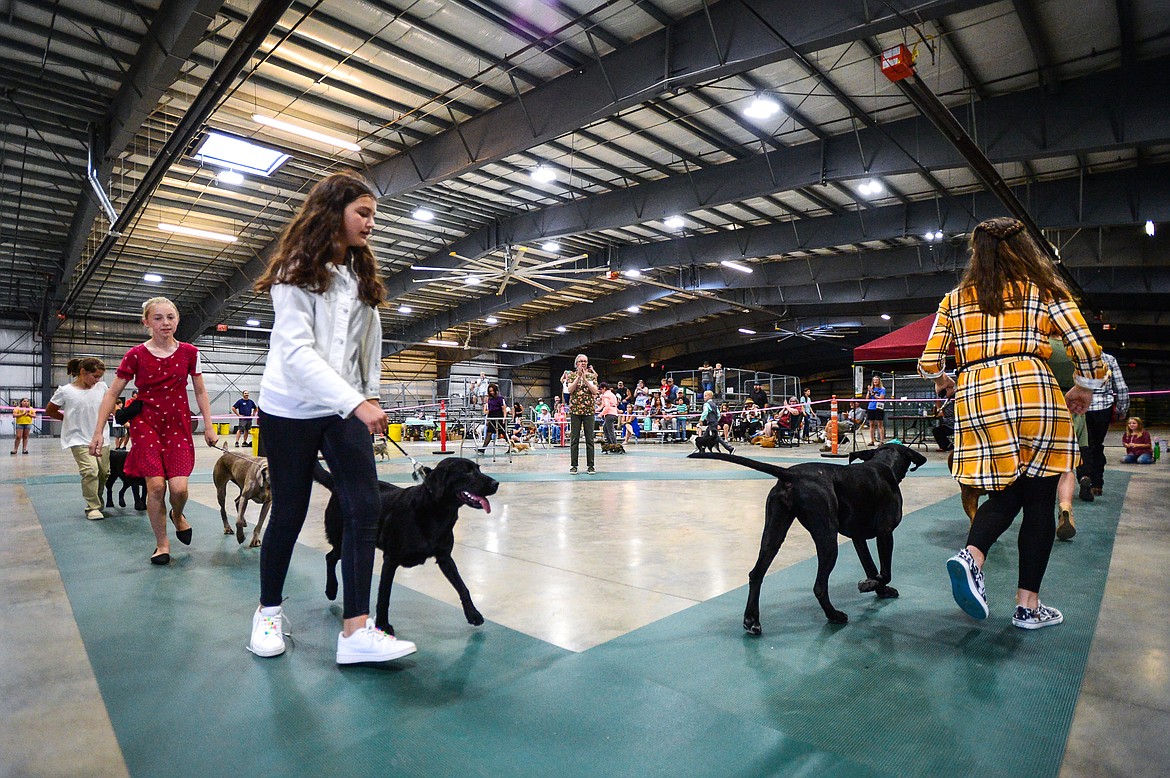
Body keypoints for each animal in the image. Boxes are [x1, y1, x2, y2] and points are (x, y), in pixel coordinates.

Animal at [315, 458, 498, 636]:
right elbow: (384, 595)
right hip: (344, 540)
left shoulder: (445, 558)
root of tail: (336, 485)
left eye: (478, 469)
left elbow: (462, 587)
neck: (435, 512)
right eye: (467, 472)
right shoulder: (391, 559)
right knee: (330, 557)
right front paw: (383, 624)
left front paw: (473, 614)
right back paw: (331, 589)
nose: (496, 483)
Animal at [683, 442, 921, 631]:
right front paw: (870, 585)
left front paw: (878, 589)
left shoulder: (858, 538)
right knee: (819, 587)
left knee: (756, 574)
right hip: (828, 540)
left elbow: (871, 567)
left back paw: (752, 620)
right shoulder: (885, 533)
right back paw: (834, 615)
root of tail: (791, 475)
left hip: (773, 536)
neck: (883, 464)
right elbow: (885, 572)